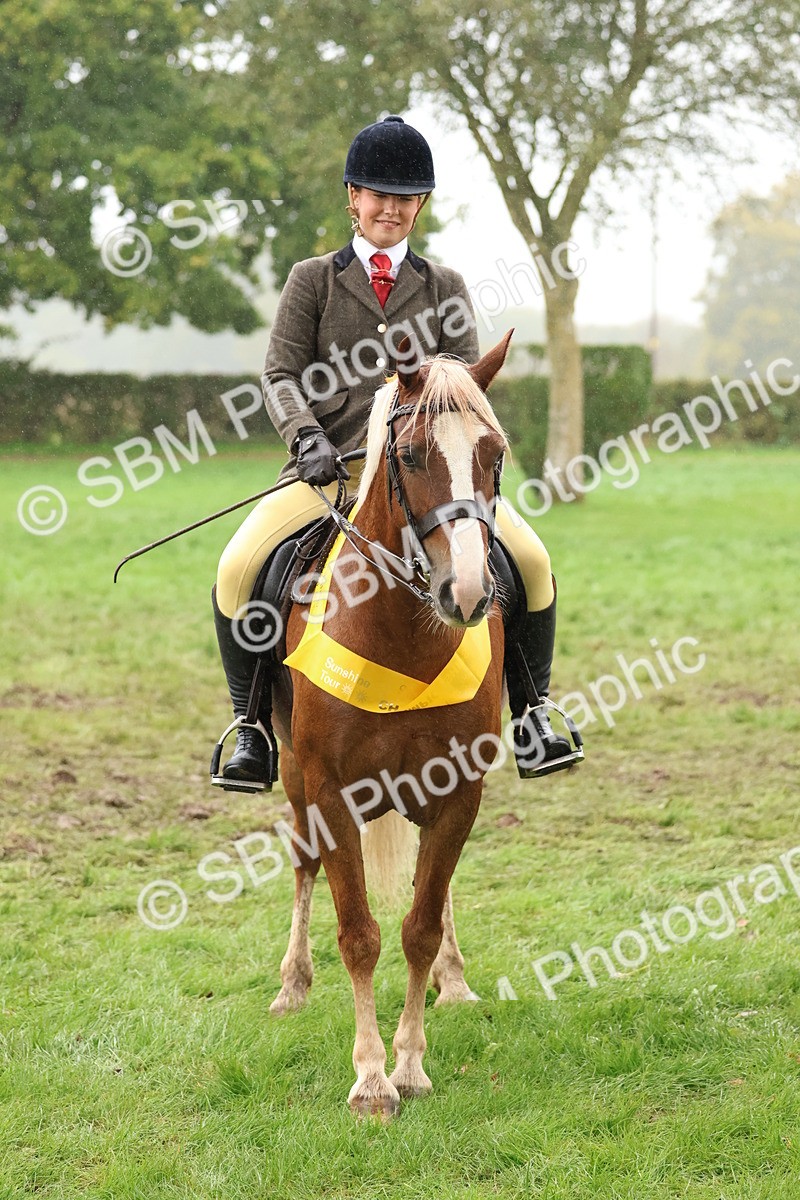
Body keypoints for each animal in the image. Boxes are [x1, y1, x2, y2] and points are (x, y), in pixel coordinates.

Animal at [270, 332, 512, 1118]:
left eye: (495, 453)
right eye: (410, 456)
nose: (468, 592)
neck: (400, 632)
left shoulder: (459, 791)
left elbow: (419, 925)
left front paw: (408, 1064)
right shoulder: (330, 792)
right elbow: (359, 936)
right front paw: (372, 1079)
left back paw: (454, 978)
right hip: (291, 774)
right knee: (304, 863)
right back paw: (291, 984)